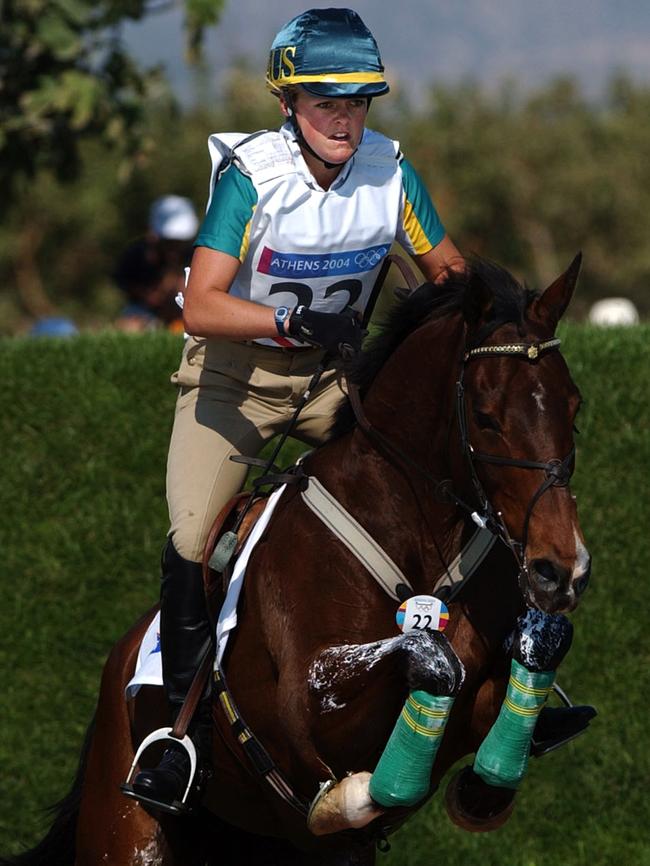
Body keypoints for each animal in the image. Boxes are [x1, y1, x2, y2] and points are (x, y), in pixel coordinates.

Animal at [2, 253, 588, 864]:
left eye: (574, 407)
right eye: (486, 416)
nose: (560, 570)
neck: (417, 532)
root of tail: (117, 664)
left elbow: (522, 671)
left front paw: (479, 784)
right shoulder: (306, 709)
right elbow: (423, 660)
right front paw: (352, 795)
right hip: (127, 829)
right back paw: (168, 769)